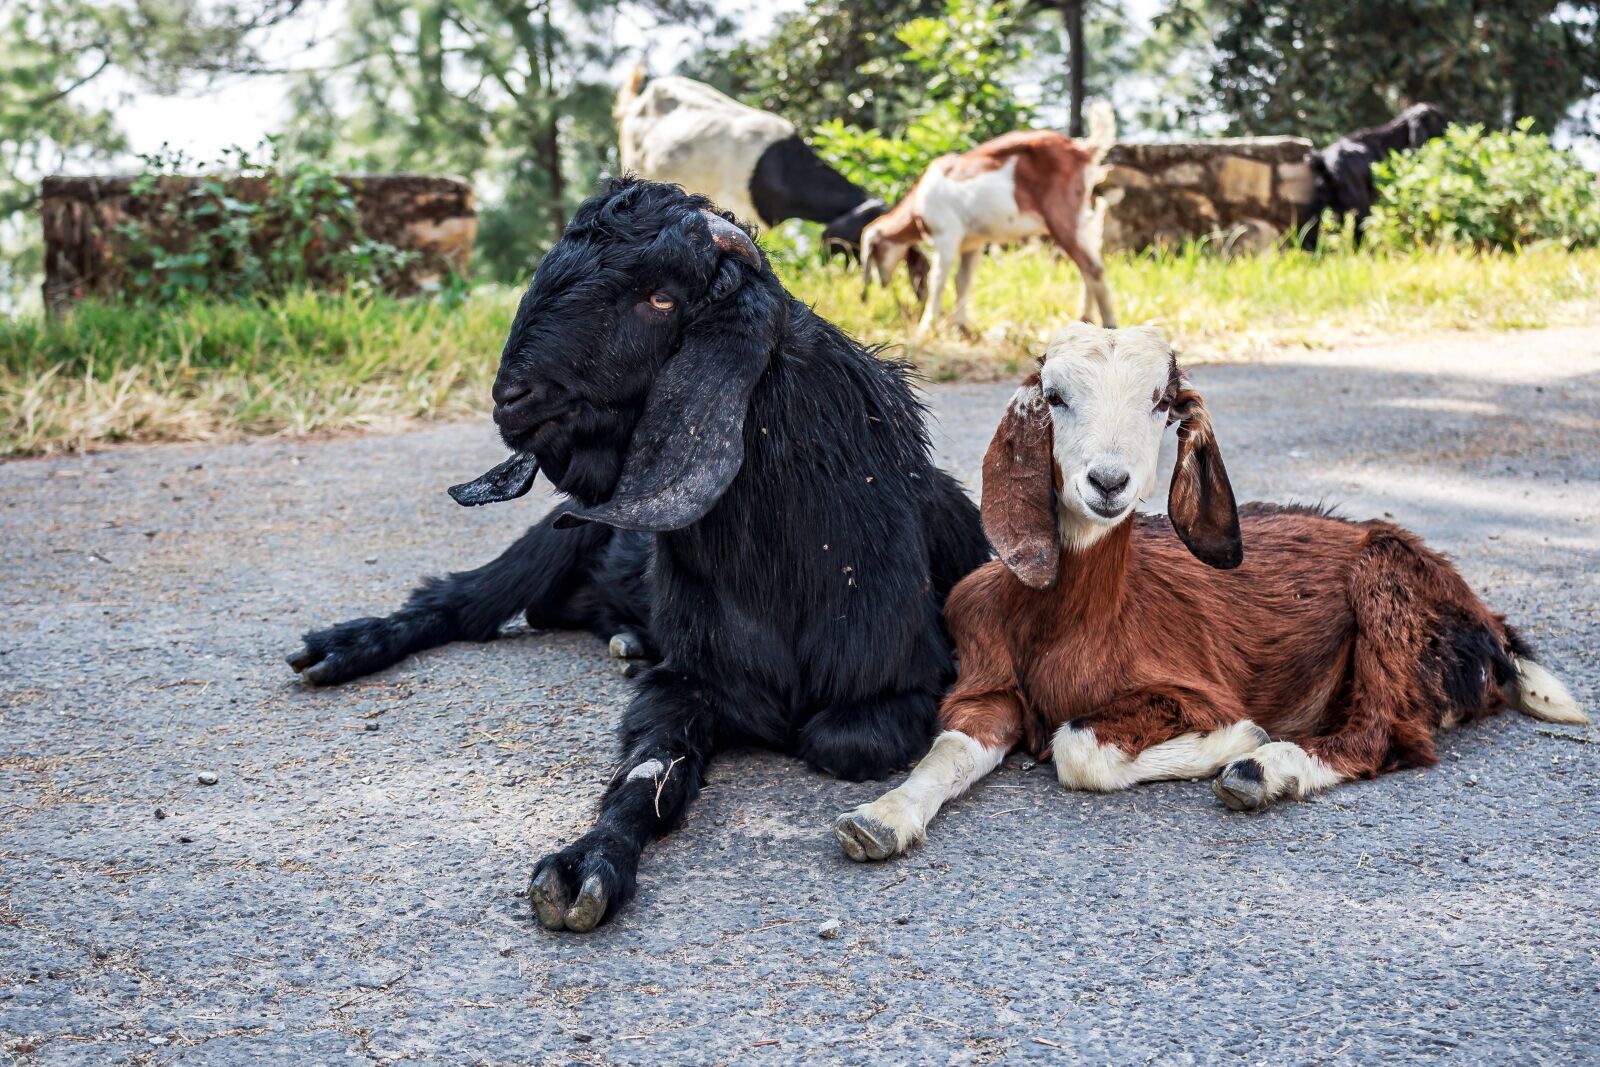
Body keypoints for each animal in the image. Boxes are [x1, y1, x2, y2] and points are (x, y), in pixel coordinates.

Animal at [286, 179, 992, 929]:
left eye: (659, 298)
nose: (511, 398)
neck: (794, 556)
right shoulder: (688, 680)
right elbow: (649, 770)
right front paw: (582, 868)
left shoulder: (915, 678)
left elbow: (839, 741)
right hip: (552, 536)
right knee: (460, 601)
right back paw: (343, 646)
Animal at [834, 322, 1584, 861]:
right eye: (1055, 396)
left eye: (1159, 404)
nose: (1107, 481)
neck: (1067, 620)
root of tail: (1489, 622)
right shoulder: (984, 684)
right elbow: (949, 748)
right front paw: (879, 818)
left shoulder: (1190, 689)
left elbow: (1080, 750)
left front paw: (1238, 737)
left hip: (1388, 592)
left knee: (1385, 732)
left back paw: (1260, 769)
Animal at [859, 104, 1117, 340]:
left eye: (876, 252)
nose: (882, 283)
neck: (918, 204)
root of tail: (1081, 149)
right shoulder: (973, 242)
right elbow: (963, 280)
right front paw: (960, 327)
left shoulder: (947, 235)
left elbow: (938, 280)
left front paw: (926, 327)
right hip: (1083, 220)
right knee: (1087, 267)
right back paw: (1086, 320)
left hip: (1063, 217)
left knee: (1093, 267)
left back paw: (1109, 324)